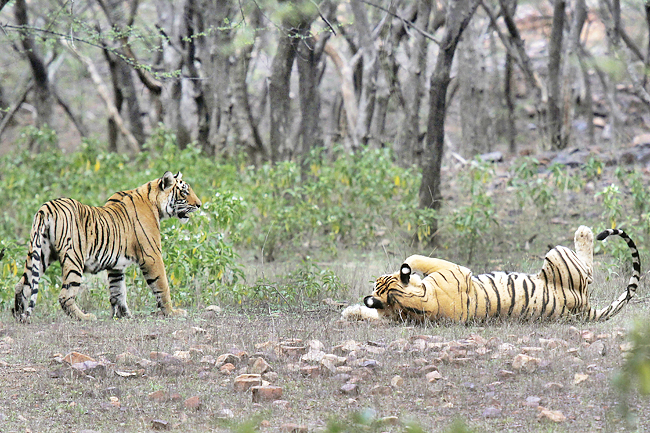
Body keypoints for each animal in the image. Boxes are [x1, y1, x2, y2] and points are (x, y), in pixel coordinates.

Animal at [11, 171, 200, 320]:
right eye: (184, 192)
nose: (199, 204)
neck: (154, 203)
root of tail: (47, 207)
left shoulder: (116, 265)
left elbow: (118, 291)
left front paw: (124, 315)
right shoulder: (151, 255)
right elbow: (162, 285)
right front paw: (172, 312)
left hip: (41, 253)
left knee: (23, 284)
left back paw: (19, 315)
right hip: (74, 258)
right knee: (65, 295)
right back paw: (85, 317)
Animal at [344, 226, 636, 320]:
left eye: (378, 281)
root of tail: (583, 308)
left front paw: (350, 312)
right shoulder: (455, 269)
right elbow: (417, 259)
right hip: (557, 254)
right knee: (589, 269)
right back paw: (584, 232)